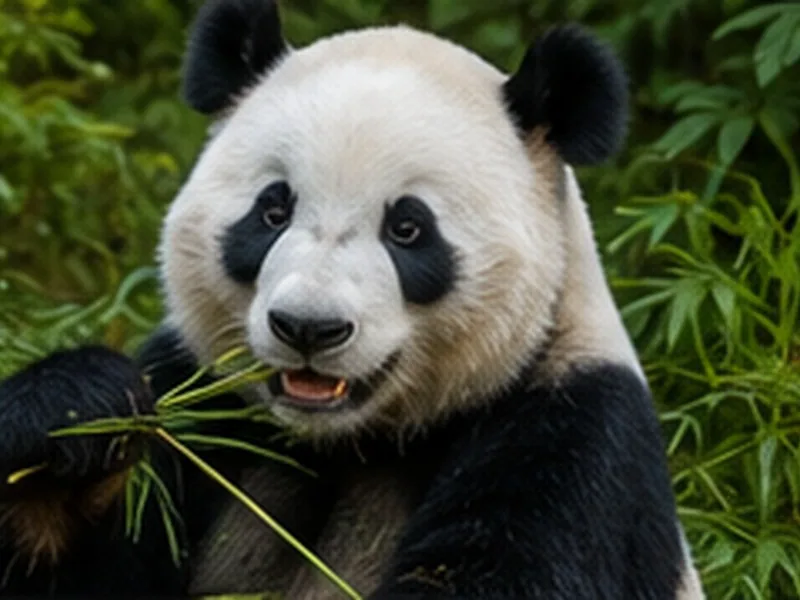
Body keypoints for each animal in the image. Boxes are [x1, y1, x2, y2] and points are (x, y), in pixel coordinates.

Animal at [0, 0, 706, 598]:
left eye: (408, 228)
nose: (308, 328)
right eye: (273, 210)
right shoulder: (205, 407)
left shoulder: (571, 438)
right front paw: (77, 417)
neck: (345, 445)